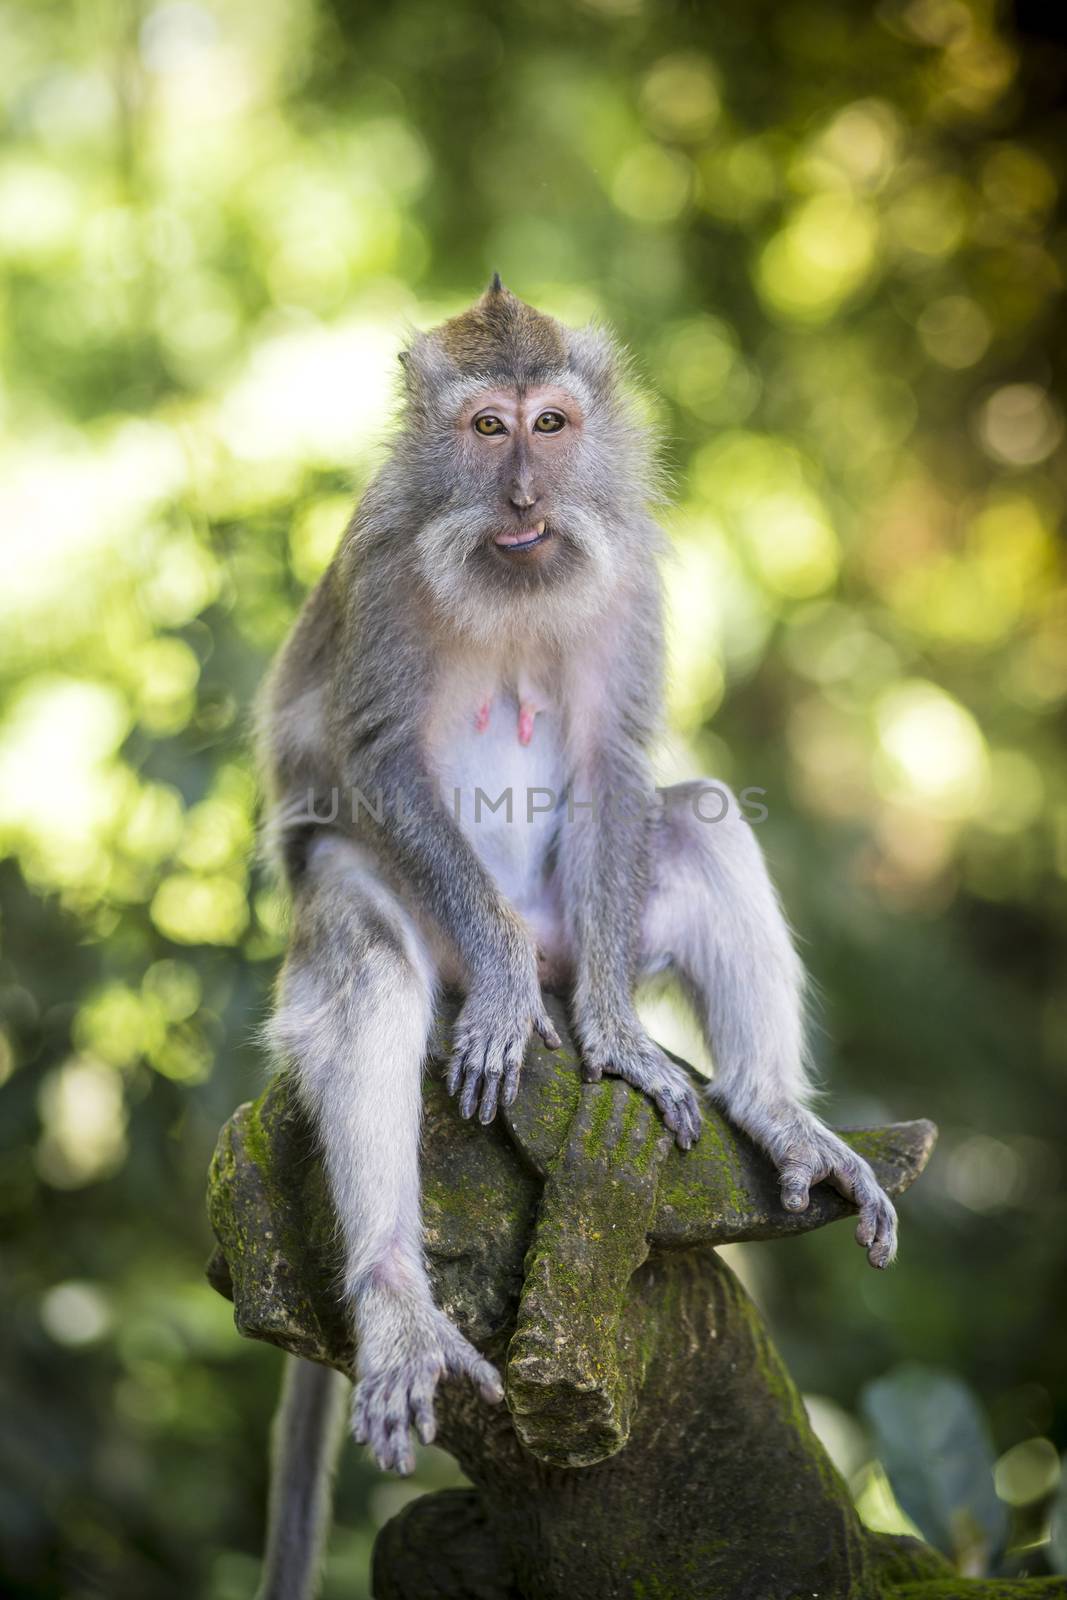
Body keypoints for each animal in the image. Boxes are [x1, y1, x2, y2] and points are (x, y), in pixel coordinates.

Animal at [254, 278, 895, 1600]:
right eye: (486, 429)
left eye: (550, 424)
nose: (523, 501)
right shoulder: (381, 567)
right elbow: (379, 760)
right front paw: (500, 998)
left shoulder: (634, 573)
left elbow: (614, 762)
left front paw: (617, 1041)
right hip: (415, 929)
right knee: (370, 955)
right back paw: (397, 1289)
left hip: (583, 921)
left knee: (697, 821)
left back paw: (764, 1106)